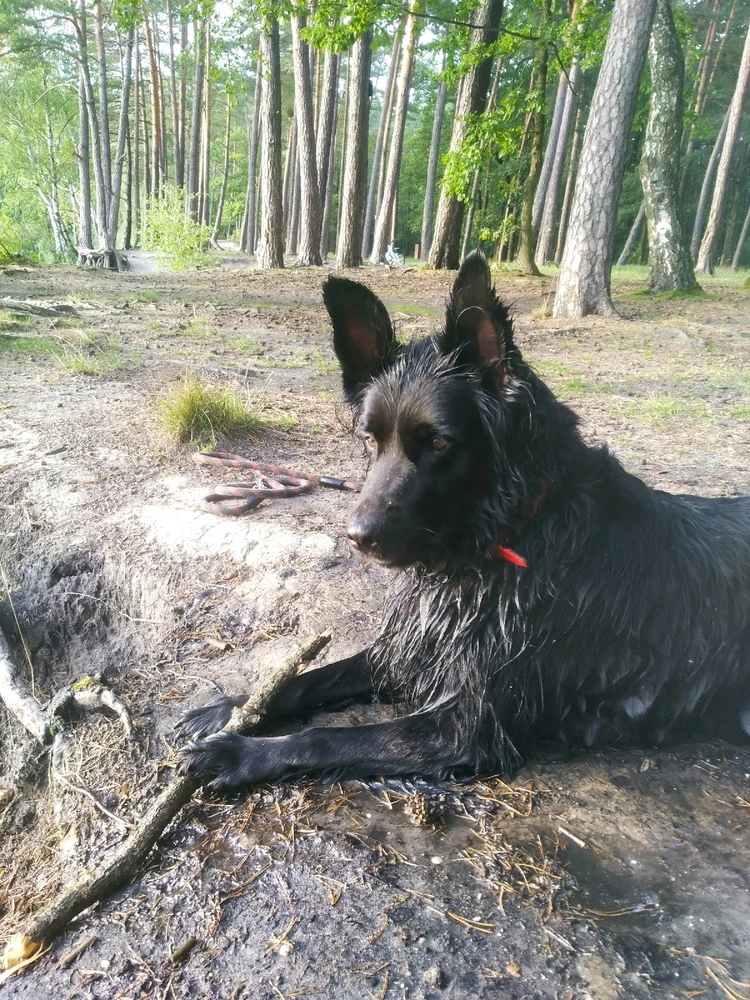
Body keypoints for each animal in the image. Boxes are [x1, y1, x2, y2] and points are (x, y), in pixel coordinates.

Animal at [179, 251, 750, 788]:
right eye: (370, 438)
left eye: (438, 443)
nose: (358, 537)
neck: (512, 533)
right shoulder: (411, 648)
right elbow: (312, 677)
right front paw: (231, 708)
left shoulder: (464, 726)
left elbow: (323, 737)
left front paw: (239, 753)